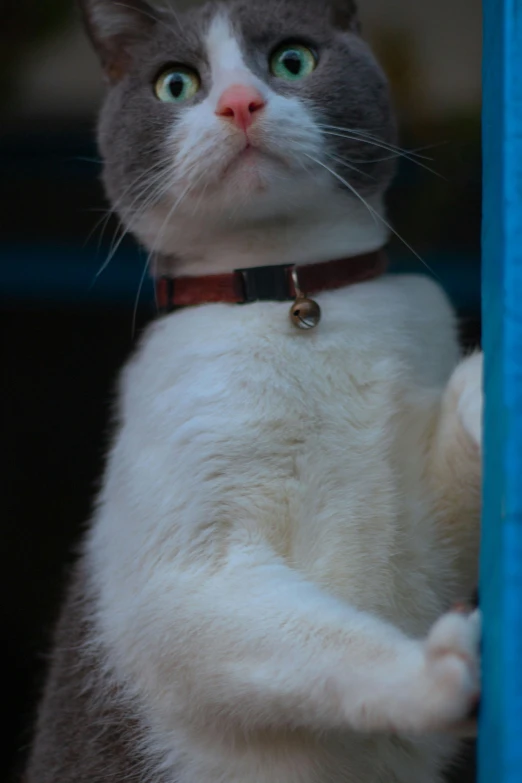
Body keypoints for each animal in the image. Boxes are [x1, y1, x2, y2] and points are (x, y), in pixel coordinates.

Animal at [23, 1, 480, 783]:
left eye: (292, 60)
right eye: (176, 83)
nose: (240, 102)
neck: (293, 299)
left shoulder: (430, 537)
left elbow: (453, 493)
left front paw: (485, 386)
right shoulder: (187, 575)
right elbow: (319, 642)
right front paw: (434, 673)